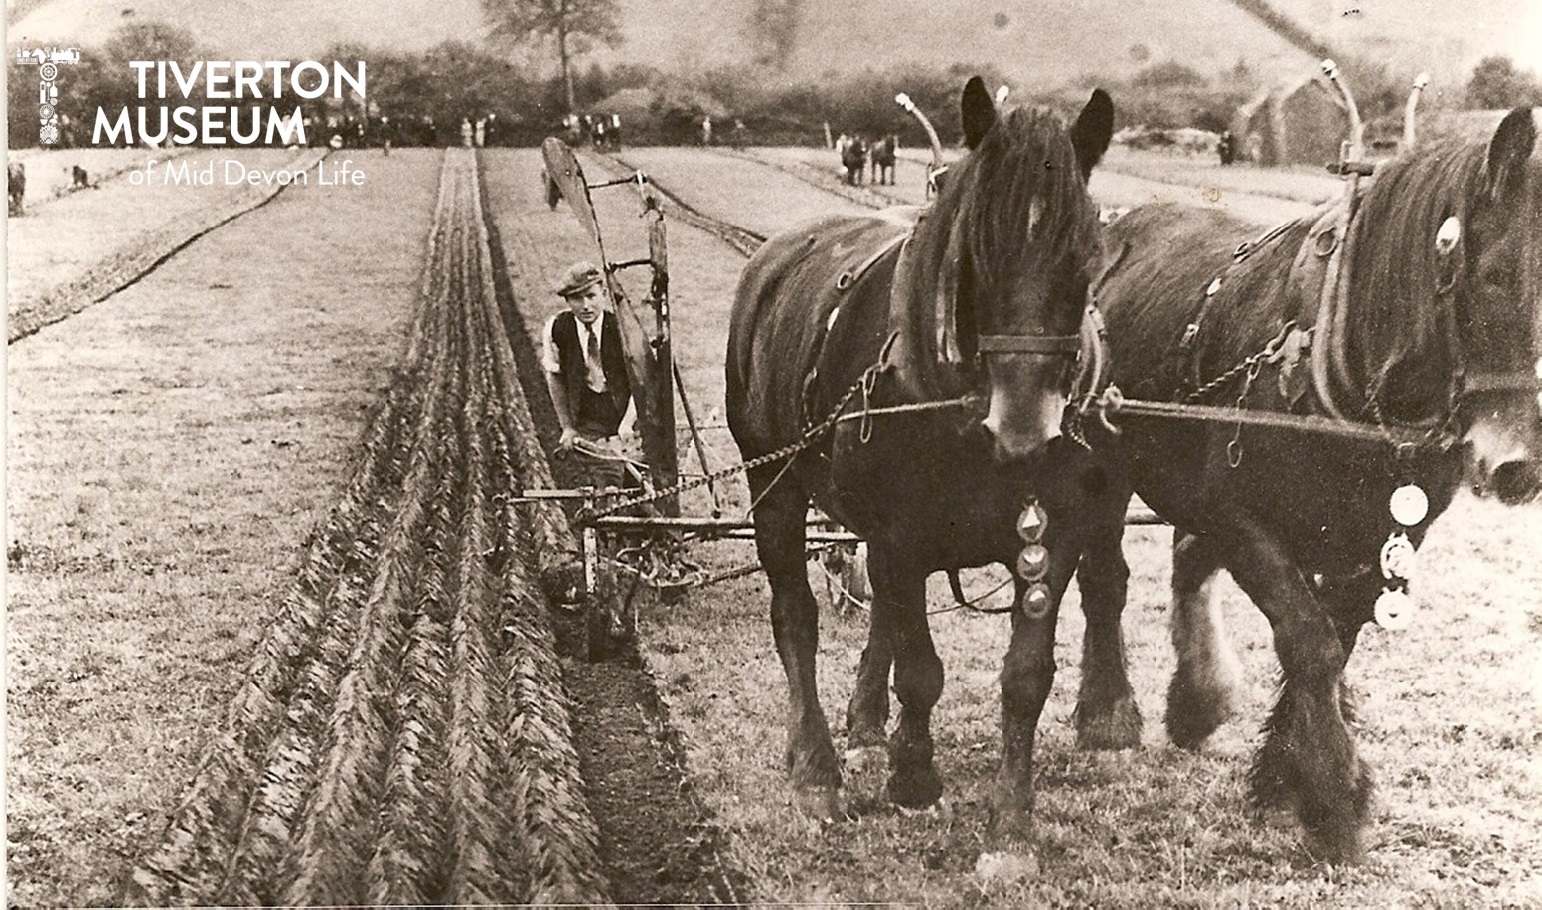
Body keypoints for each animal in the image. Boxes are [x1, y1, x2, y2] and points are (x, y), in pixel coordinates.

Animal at [721, 80, 1110, 839]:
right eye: (975, 254)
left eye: (1083, 258)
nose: (1024, 432)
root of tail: (769, 258)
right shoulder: (901, 535)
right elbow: (922, 669)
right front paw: (914, 776)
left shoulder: (1056, 534)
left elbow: (1024, 678)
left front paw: (1009, 825)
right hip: (770, 479)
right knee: (797, 617)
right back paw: (816, 767)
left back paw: (869, 728)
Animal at [1054, 107, 1542, 863]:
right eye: (1490, 278)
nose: (1520, 465)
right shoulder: (1243, 519)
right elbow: (1309, 642)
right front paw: (1335, 800)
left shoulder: (1387, 537)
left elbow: (1334, 644)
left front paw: (1284, 777)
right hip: (1100, 459)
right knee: (1107, 578)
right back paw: (1109, 719)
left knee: (1187, 558)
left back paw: (1197, 701)